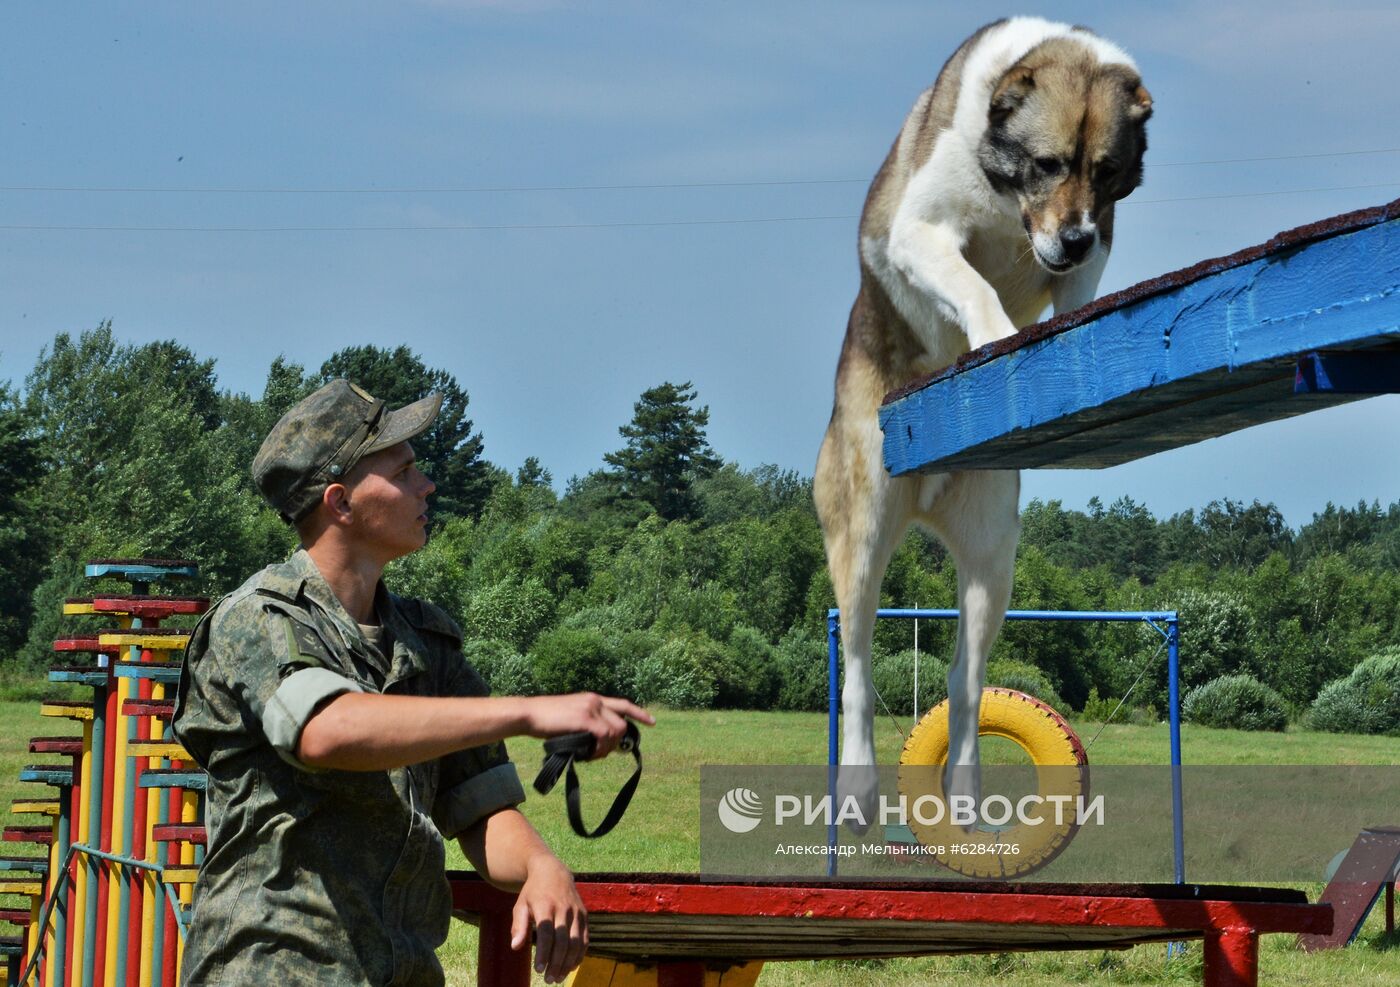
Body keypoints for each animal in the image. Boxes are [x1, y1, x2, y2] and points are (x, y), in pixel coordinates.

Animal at [817, 19, 1153, 828]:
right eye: (1048, 163)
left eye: (1105, 172)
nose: (1072, 238)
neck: (1008, 203)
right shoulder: (918, 229)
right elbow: (972, 284)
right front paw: (995, 333)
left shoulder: (1095, 247)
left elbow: (1078, 296)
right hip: (864, 527)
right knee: (860, 665)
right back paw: (858, 788)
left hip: (994, 558)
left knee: (965, 683)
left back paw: (966, 793)